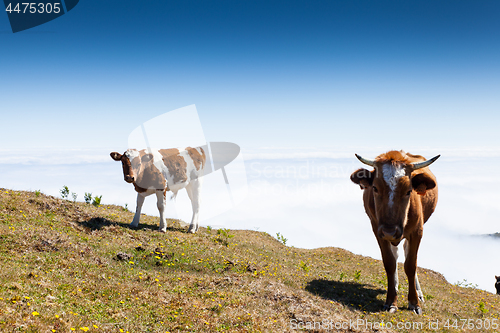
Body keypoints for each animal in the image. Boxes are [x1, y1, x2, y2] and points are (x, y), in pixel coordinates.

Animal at [350, 150, 440, 314]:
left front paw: (414, 303)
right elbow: (390, 263)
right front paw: (391, 301)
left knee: (405, 251)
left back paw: (419, 292)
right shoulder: (377, 230)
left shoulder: (417, 231)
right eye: (375, 188)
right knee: (396, 253)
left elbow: (411, 265)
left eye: (409, 191)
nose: (389, 231)